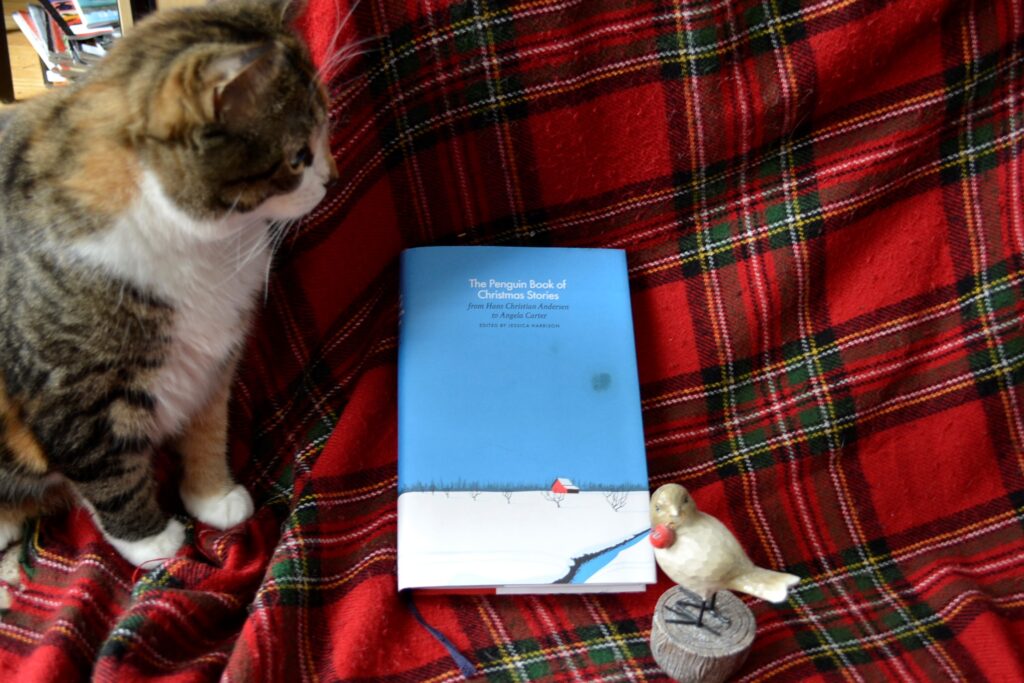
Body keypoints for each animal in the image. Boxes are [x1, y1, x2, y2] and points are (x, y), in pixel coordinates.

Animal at [0, 0, 339, 569]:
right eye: (298, 157)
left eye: (327, 127)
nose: (332, 179)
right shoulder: (71, 395)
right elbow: (108, 473)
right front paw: (151, 542)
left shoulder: (211, 357)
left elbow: (208, 426)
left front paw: (212, 496)